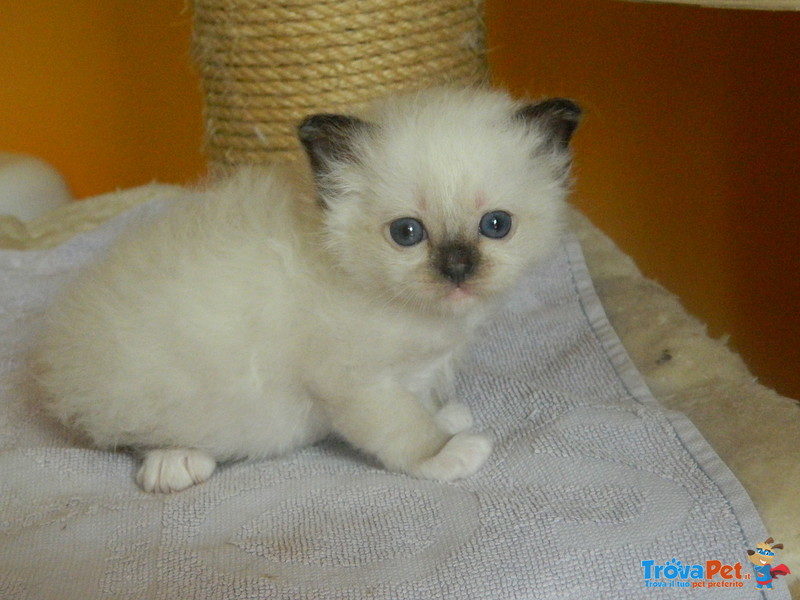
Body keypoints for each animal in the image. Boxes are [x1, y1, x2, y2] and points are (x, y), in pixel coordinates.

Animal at [32, 88, 580, 492]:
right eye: (406, 233)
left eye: (495, 225)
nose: (458, 269)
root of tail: (55, 355)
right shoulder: (354, 382)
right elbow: (404, 428)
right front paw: (447, 453)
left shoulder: (415, 371)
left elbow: (423, 402)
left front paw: (447, 419)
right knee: (130, 432)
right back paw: (176, 463)